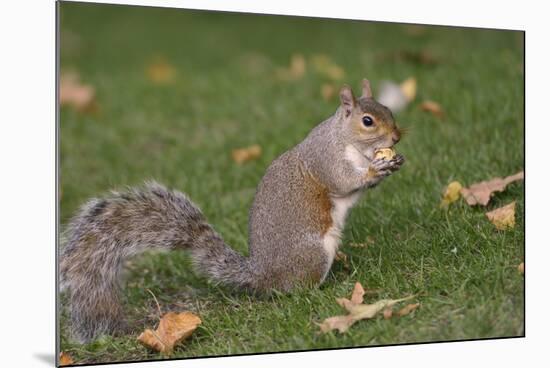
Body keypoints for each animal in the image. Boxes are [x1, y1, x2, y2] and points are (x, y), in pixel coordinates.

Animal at [61, 79, 406, 344]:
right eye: (367, 121)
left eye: (388, 110)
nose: (397, 137)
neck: (346, 140)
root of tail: (263, 276)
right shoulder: (327, 160)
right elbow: (344, 181)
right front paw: (376, 169)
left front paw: (392, 163)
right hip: (312, 253)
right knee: (296, 290)